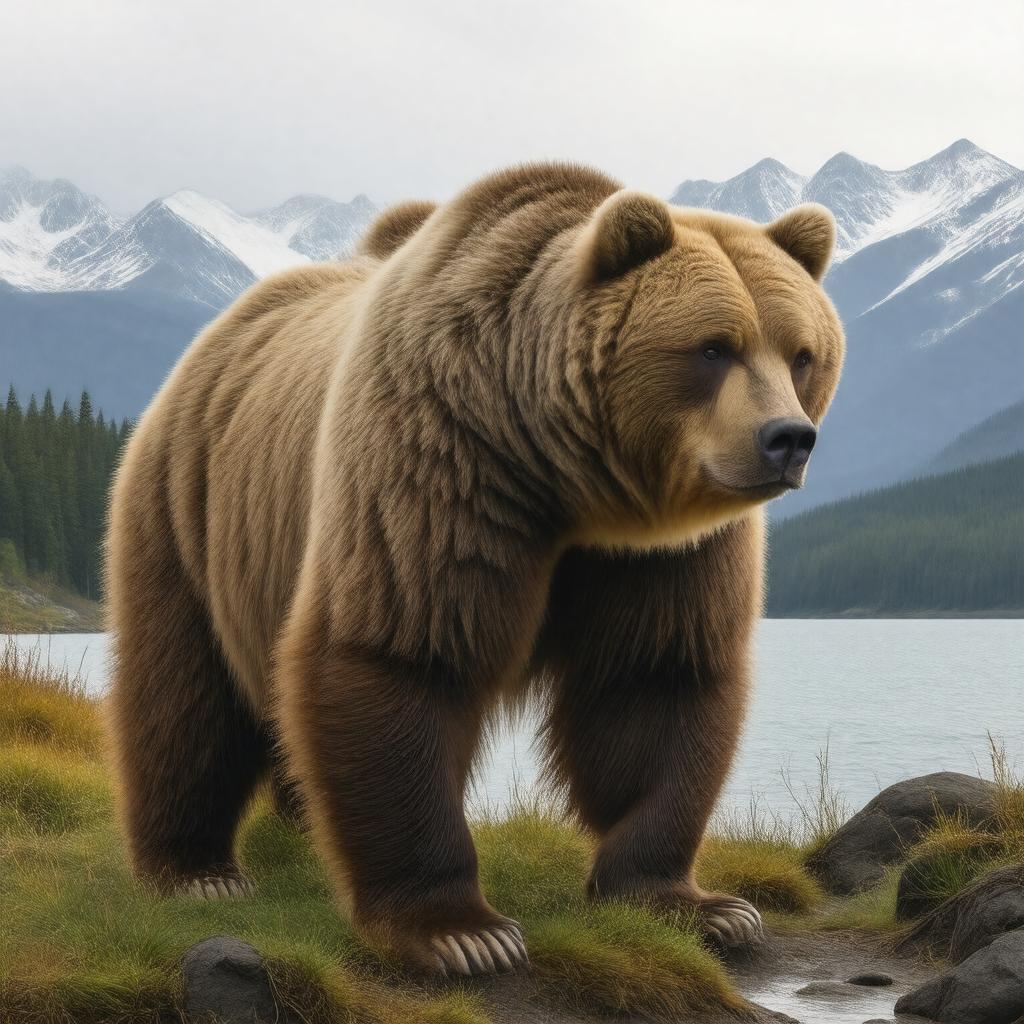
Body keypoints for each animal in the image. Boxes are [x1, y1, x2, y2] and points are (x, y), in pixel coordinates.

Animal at [106, 162, 843, 976]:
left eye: (801, 352)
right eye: (714, 347)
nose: (787, 439)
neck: (567, 476)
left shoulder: (662, 552)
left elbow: (655, 680)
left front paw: (702, 905)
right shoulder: (443, 458)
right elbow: (405, 651)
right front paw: (462, 932)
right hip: (189, 507)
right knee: (185, 693)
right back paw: (195, 870)